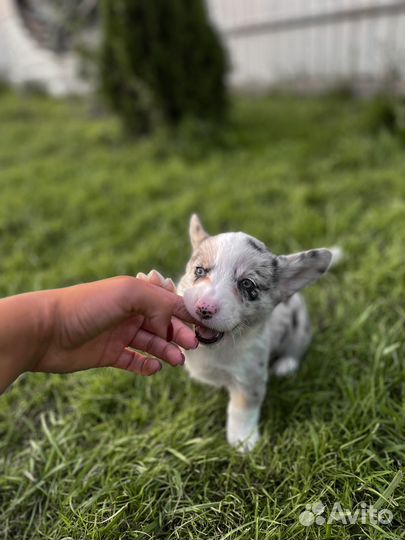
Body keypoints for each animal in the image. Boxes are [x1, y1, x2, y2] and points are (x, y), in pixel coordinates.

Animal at [138, 215, 340, 452]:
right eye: (199, 271)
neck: (219, 347)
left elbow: (242, 409)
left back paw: (286, 365)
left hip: (300, 328)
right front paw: (155, 283)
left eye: (246, 284)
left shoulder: (249, 378)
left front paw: (243, 442)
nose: (203, 308)